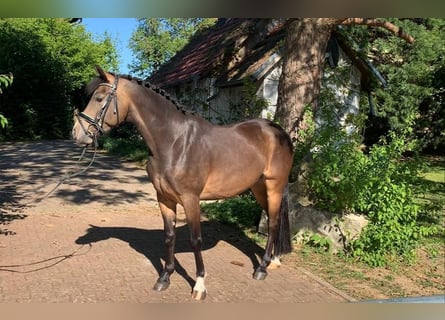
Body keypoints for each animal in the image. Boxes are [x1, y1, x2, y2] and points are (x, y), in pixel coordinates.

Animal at [71, 65, 294, 300]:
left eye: (99, 98)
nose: (76, 133)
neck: (174, 142)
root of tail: (277, 131)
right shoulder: (164, 198)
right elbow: (169, 236)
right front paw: (164, 278)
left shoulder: (190, 199)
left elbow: (196, 240)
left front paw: (199, 285)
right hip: (259, 188)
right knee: (274, 219)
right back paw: (274, 261)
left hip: (274, 186)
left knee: (273, 222)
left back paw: (262, 268)